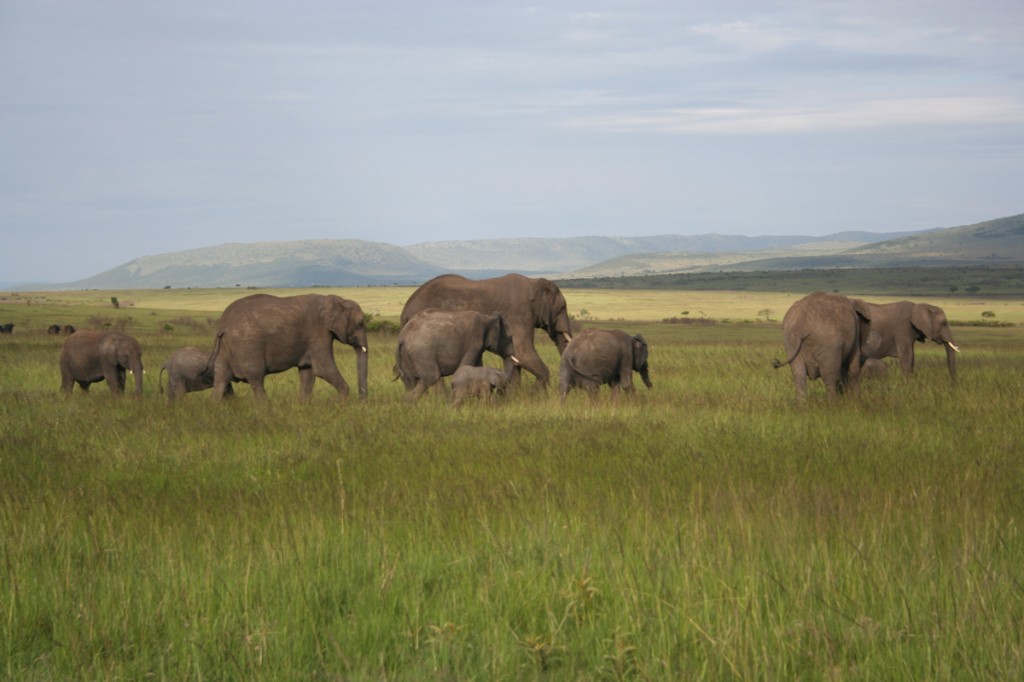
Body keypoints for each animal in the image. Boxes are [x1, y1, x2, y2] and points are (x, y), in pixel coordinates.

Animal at [207, 290, 368, 399]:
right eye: (360, 323)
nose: (362, 402)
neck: (337, 300)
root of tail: (223, 324)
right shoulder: (318, 333)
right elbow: (323, 369)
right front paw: (341, 404)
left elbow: (307, 371)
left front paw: (304, 407)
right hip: (248, 346)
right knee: (256, 379)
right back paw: (265, 411)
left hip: (225, 348)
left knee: (220, 380)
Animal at [401, 272, 577, 387]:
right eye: (562, 308)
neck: (534, 283)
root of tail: (406, 308)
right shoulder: (519, 315)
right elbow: (522, 352)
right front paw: (539, 394)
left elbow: (515, 357)